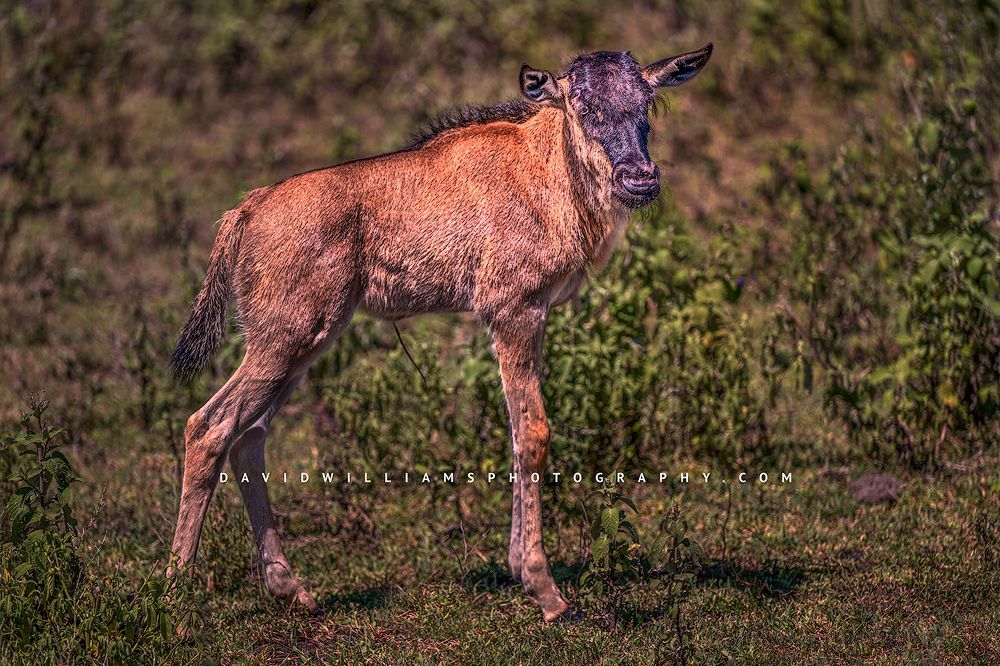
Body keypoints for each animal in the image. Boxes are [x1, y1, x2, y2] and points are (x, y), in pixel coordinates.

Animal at [169, 43, 712, 620]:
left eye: (647, 104)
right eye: (583, 108)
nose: (640, 179)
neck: (547, 172)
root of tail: (246, 208)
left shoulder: (531, 316)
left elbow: (516, 431)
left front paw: (518, 569)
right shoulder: (514, 311)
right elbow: (535, 433)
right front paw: (546, 590)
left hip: (306, 345)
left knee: (249, 436)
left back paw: (291, 588)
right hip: (282, 341)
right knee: (209, 427)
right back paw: (175, 592)